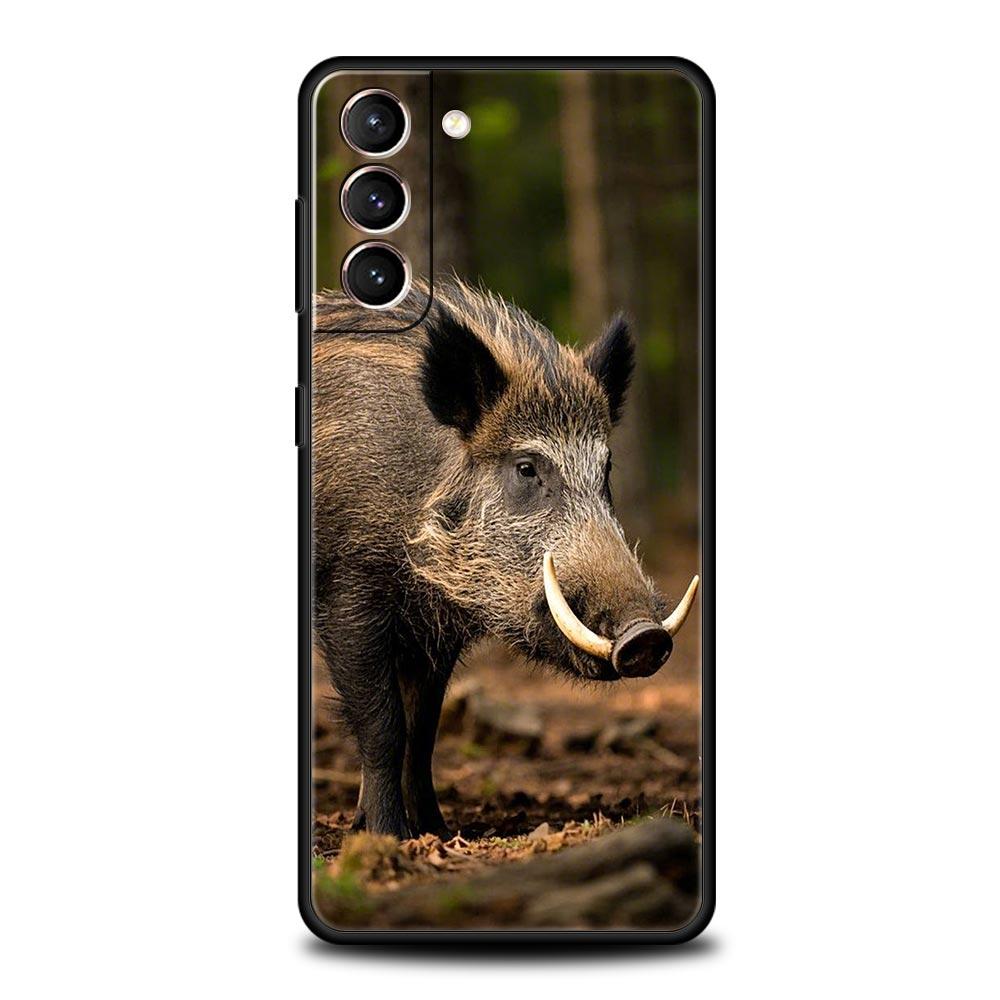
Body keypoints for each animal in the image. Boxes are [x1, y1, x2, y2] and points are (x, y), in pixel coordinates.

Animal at [312, 279, 698, 838]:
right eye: (526, 468)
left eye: (605, 469)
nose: (644, 637)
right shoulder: (349, 592)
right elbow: (383, 724)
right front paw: (389, 835)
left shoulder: (433, 632)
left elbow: (423, 727)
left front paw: (436, 831)